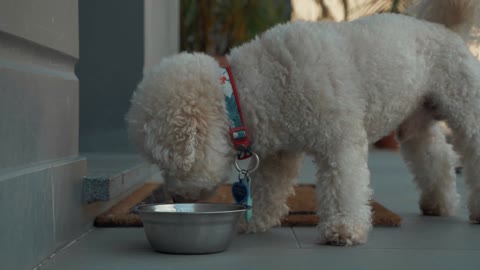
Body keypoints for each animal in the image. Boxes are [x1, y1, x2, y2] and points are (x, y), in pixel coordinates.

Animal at [126, 0, 480, 246]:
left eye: (165, 161)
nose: (174, 198)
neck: (250, 88)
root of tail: (443, 28)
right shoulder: (280, 151)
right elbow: (270, 188)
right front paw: (254, 221)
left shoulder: (340, 140)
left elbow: (343, 186)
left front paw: (342, 229)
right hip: (415, 120)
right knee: (435, 156)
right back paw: (439, 202)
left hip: (464, 104)